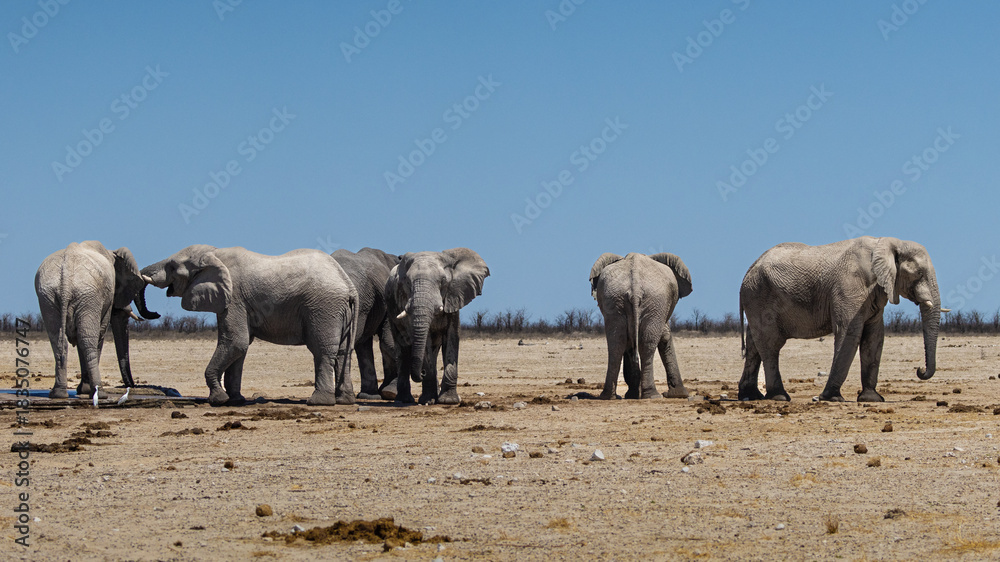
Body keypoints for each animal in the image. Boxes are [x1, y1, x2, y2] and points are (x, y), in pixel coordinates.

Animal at [35, 241, 160, 399]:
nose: (131, 386)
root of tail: (66, 276)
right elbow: (100, 333)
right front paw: (86, 390)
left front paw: (82, 390)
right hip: (88, 296)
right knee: (88, 339)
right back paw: (99, 393)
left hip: (48, 297)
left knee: (58, 339)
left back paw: (58, 394)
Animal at [141, 245, 358, 406]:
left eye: (172, 266)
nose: (156, 313)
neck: (214, 253)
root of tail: (348, 285)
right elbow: (240, 348)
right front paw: (236, 400)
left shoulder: (234, 298)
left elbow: (236, 342)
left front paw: (218, 399)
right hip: (337, 311)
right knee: (343, 352)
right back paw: (344, 400)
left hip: (323, 307)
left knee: (322, 351)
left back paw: (318, 402)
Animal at [383, 248, 489, 404]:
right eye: (407, 282)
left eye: (443, 281)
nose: (421, 373)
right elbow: (425, 344)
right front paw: (428, 401)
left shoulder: (453, 298)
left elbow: (452, 338)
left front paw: (449, 401)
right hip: (391, 311)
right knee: (402, 350)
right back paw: (405, 400)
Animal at [588, 252, 693, 400]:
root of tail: (635, 287)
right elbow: (664, 336)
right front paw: (679, 394)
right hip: (655, 301)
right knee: (646, 345)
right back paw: (652, 395)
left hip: (614, 299)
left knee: (616, 343)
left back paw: (609, 396)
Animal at [738, 236, 946, 402]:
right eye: (919, 274)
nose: (919, 369)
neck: (888, 242)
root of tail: (749, 269)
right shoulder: (850, 287)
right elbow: (849, 334)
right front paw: (831, 398)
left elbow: (874, 338)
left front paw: (872, 399)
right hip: (759, 296)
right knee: (771, 345)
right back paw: (779, 397)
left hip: (755, 298)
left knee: (754, 346)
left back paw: (750, 396)